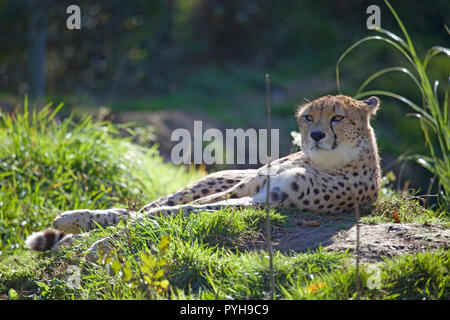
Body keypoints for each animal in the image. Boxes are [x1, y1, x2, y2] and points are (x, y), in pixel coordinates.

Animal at [26, 94, 382, 254]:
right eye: (309, 117)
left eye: (338, 117)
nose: (317, 135)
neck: (321, 162)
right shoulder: (247, 187)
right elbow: (167, 209)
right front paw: (107, 233)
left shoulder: (263, 200)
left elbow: (182, 212)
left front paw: (108, 240)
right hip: (215, 178)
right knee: (147, 205)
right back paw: (73, 222)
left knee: (150, 209)